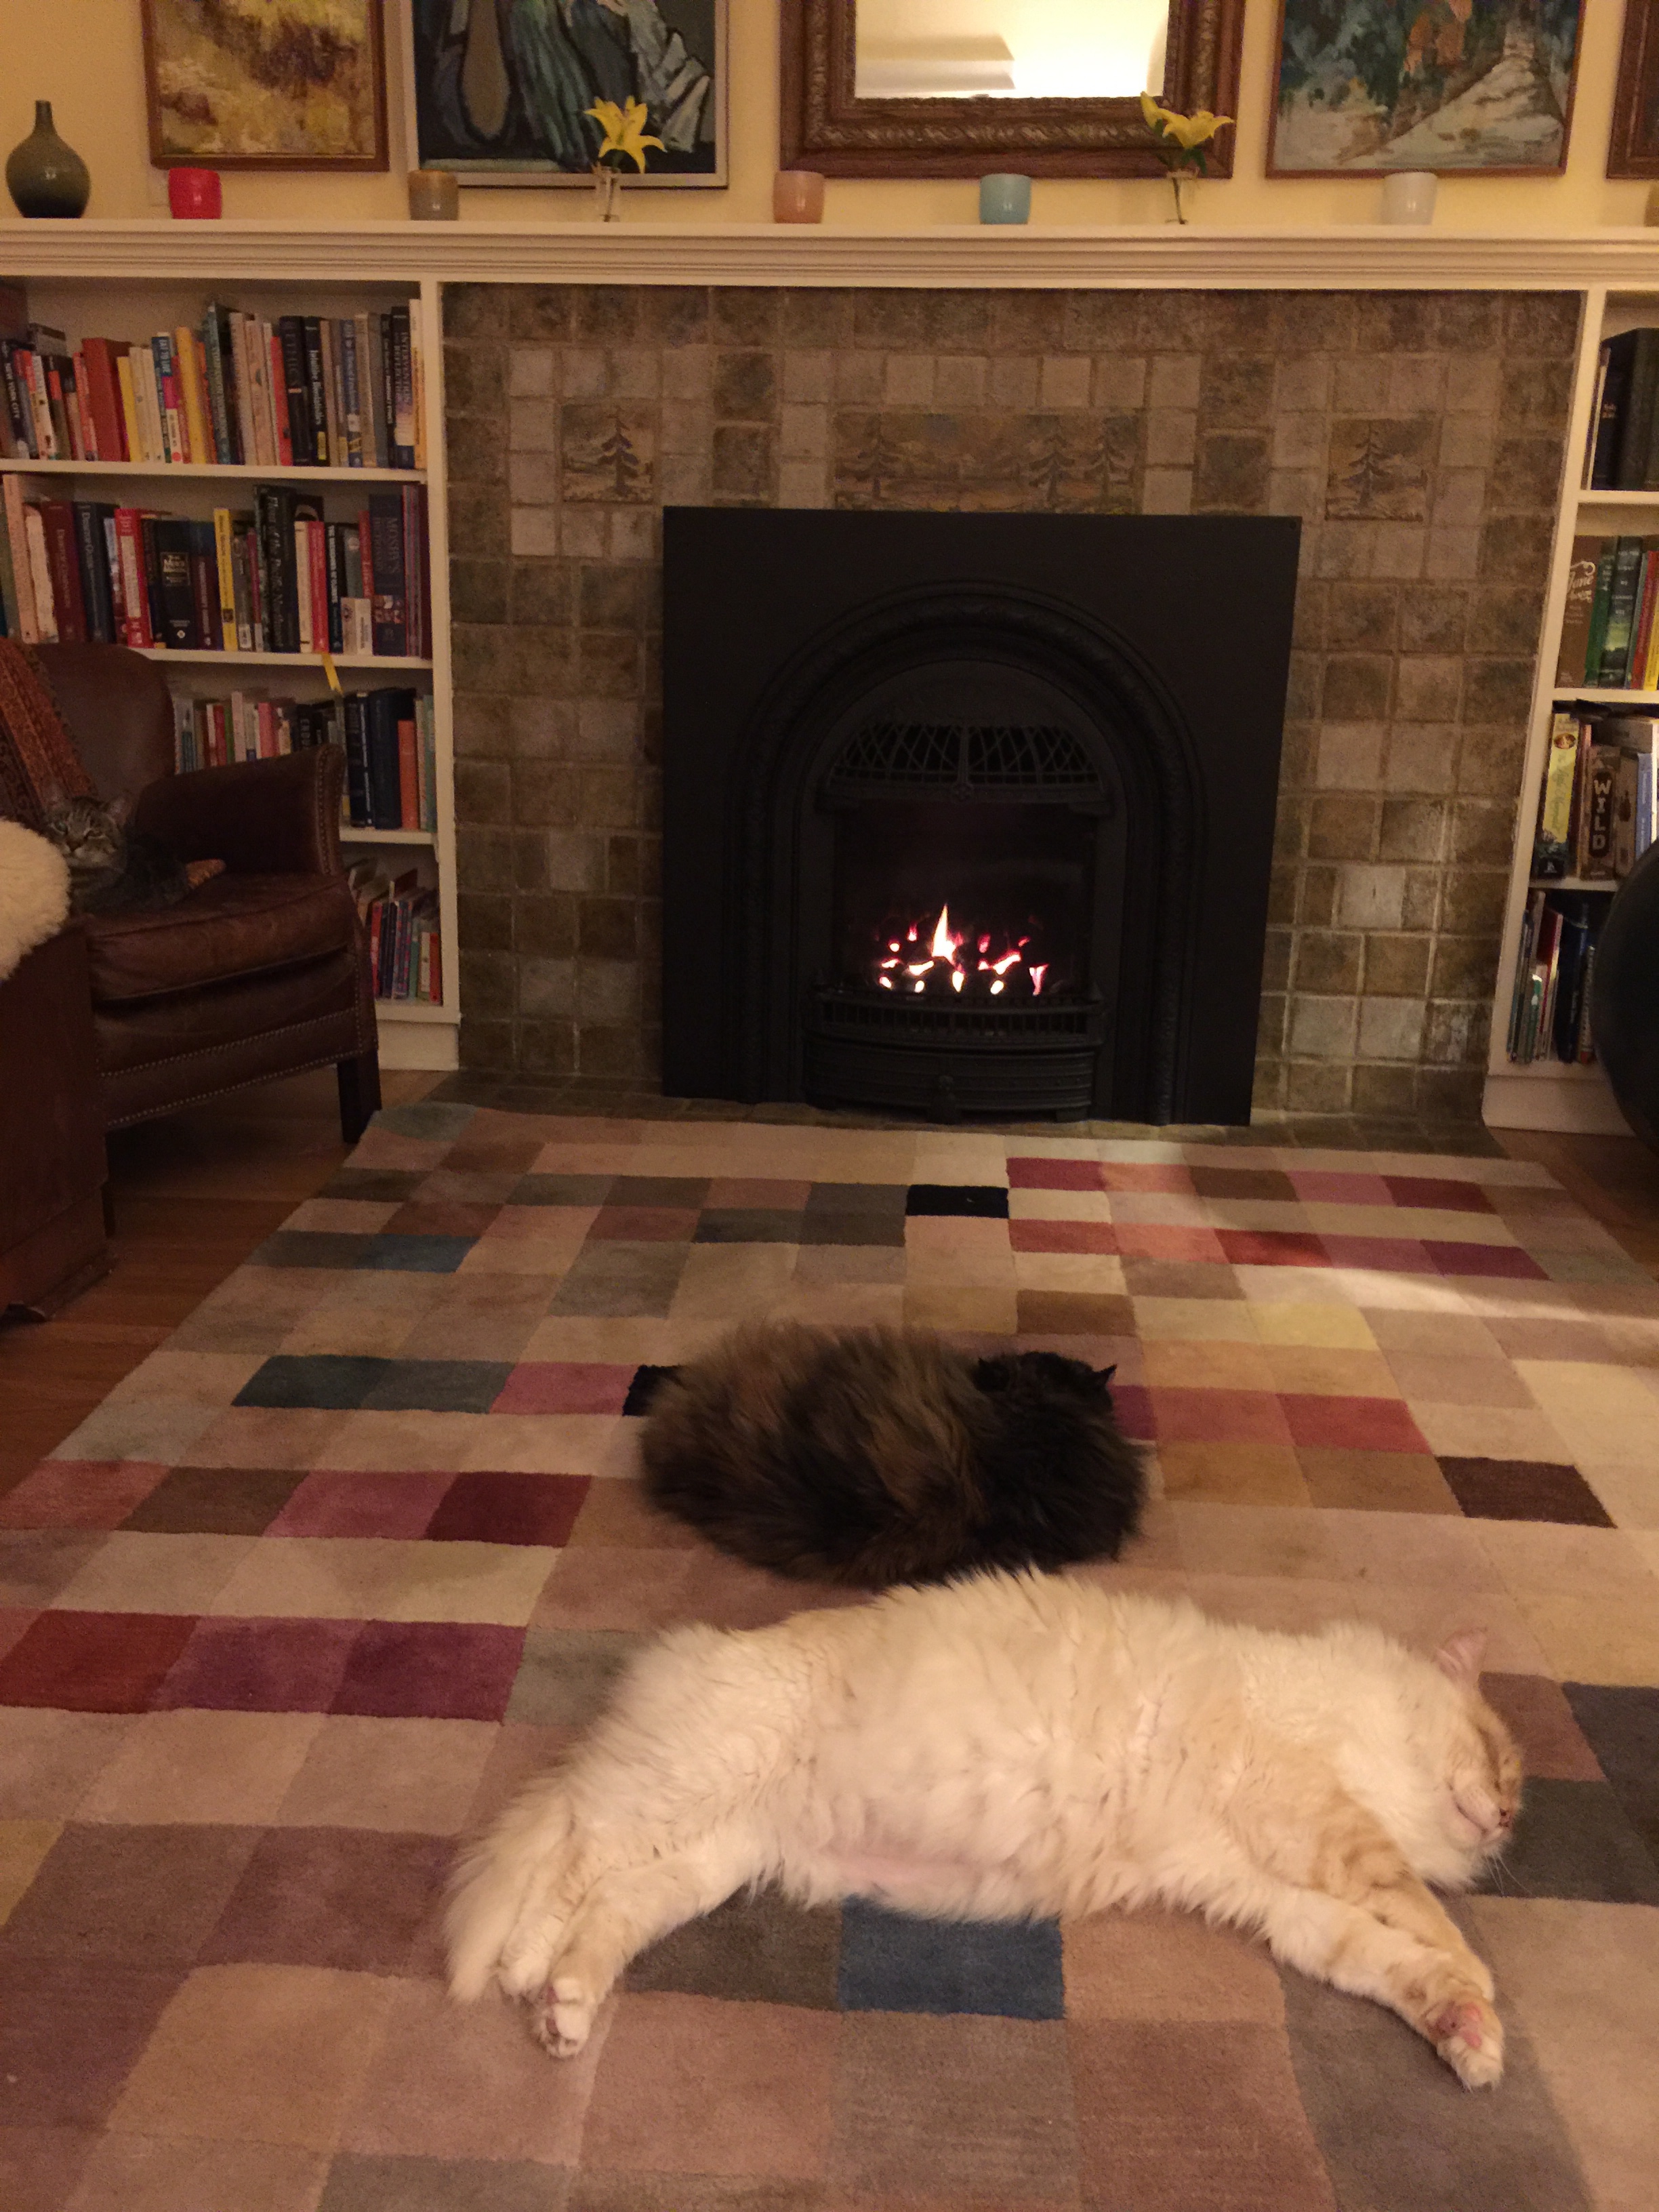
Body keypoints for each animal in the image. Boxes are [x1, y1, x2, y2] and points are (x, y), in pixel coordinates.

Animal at [446, 1572, 1522, 2088]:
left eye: (1514, 1789)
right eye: (1502, 1758)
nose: (1509, 1818)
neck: (1355, 1716)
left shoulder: (1277, 1895)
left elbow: (1390, 1962)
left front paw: (1469, 2033)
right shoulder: (1308, 1811)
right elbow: (1417, 1909)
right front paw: (1482, 1980)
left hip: (706, 1854)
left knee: (603, 1906)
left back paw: (563, 2012)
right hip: (681, 1793)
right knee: (567, 1864)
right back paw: (523, 1977)